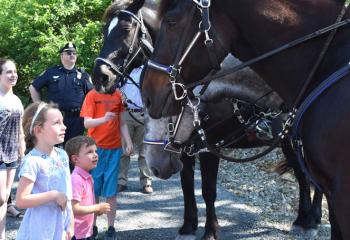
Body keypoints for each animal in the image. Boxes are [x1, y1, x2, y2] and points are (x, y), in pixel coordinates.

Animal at [92, 0, 322, 239]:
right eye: (105, 30)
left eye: (125, 29)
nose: (100, 77)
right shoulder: (186, 148)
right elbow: (186, 185)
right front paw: (188, 226)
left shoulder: (209, 146)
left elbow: (208, 190)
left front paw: (210, 230)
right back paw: (304, 218)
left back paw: (310, 219)